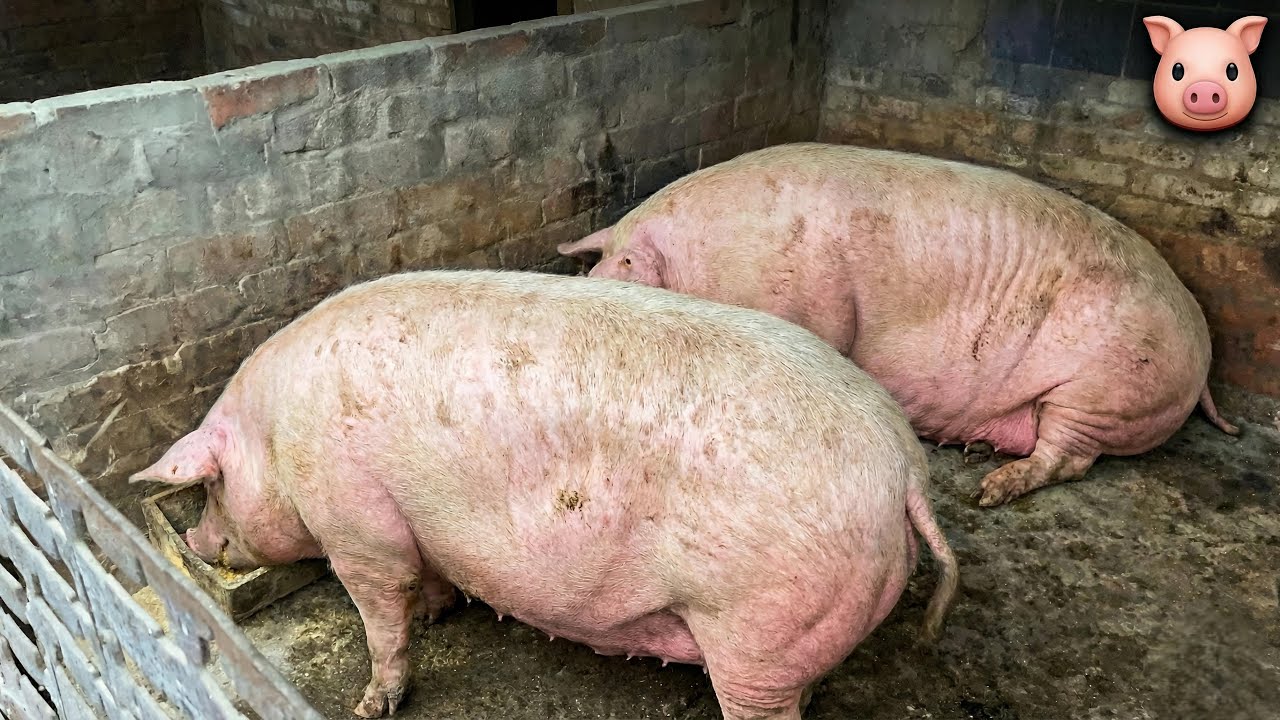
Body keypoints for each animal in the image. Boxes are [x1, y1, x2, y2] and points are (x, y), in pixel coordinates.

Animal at [130, 269, 959, 720]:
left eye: (211, 488)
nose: (197, 541)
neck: (276, 436)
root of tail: (903, 473)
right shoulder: (420, 529)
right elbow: (430, 582)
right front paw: (438, 611)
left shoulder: (357, 526)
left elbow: (384, 616)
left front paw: (369, 704)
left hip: (755, 629)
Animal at [558, 143, 1240, 508]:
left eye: (622, 275)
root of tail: (1204, 351)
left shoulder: (815, 306)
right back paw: (977, 450)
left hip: (1105, 389)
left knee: (1069, 458)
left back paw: (987, 489)